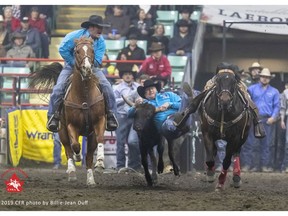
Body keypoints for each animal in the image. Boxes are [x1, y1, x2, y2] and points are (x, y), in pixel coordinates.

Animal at [29, 37, 106, 186]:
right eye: (77, 51)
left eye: (93, 51)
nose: (87, 68)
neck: (84, 95)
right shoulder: (71, 125)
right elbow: (75, 145)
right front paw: (77, 157)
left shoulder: (99, 121)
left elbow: (99, 139)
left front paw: (100, 163)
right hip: (62, 130)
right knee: (68, 148)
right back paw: (71, 171)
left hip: (90, 135)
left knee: (89, 156)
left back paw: (90, 179)